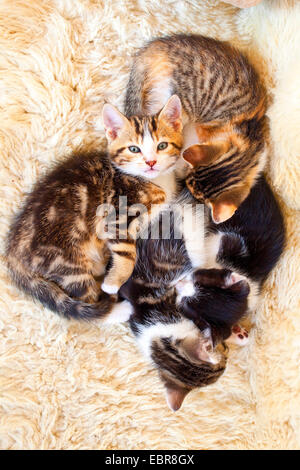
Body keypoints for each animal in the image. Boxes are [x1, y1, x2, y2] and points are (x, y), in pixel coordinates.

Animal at [4, 97, 183, 322]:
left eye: (162, 145)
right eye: (134, 149)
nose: (151, 162)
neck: (152, 181)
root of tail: (12, 251)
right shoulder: (115, 217)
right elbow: (128, 253)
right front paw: (113, 282)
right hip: (66, 261)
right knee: (89, 303)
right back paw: (118, 309)